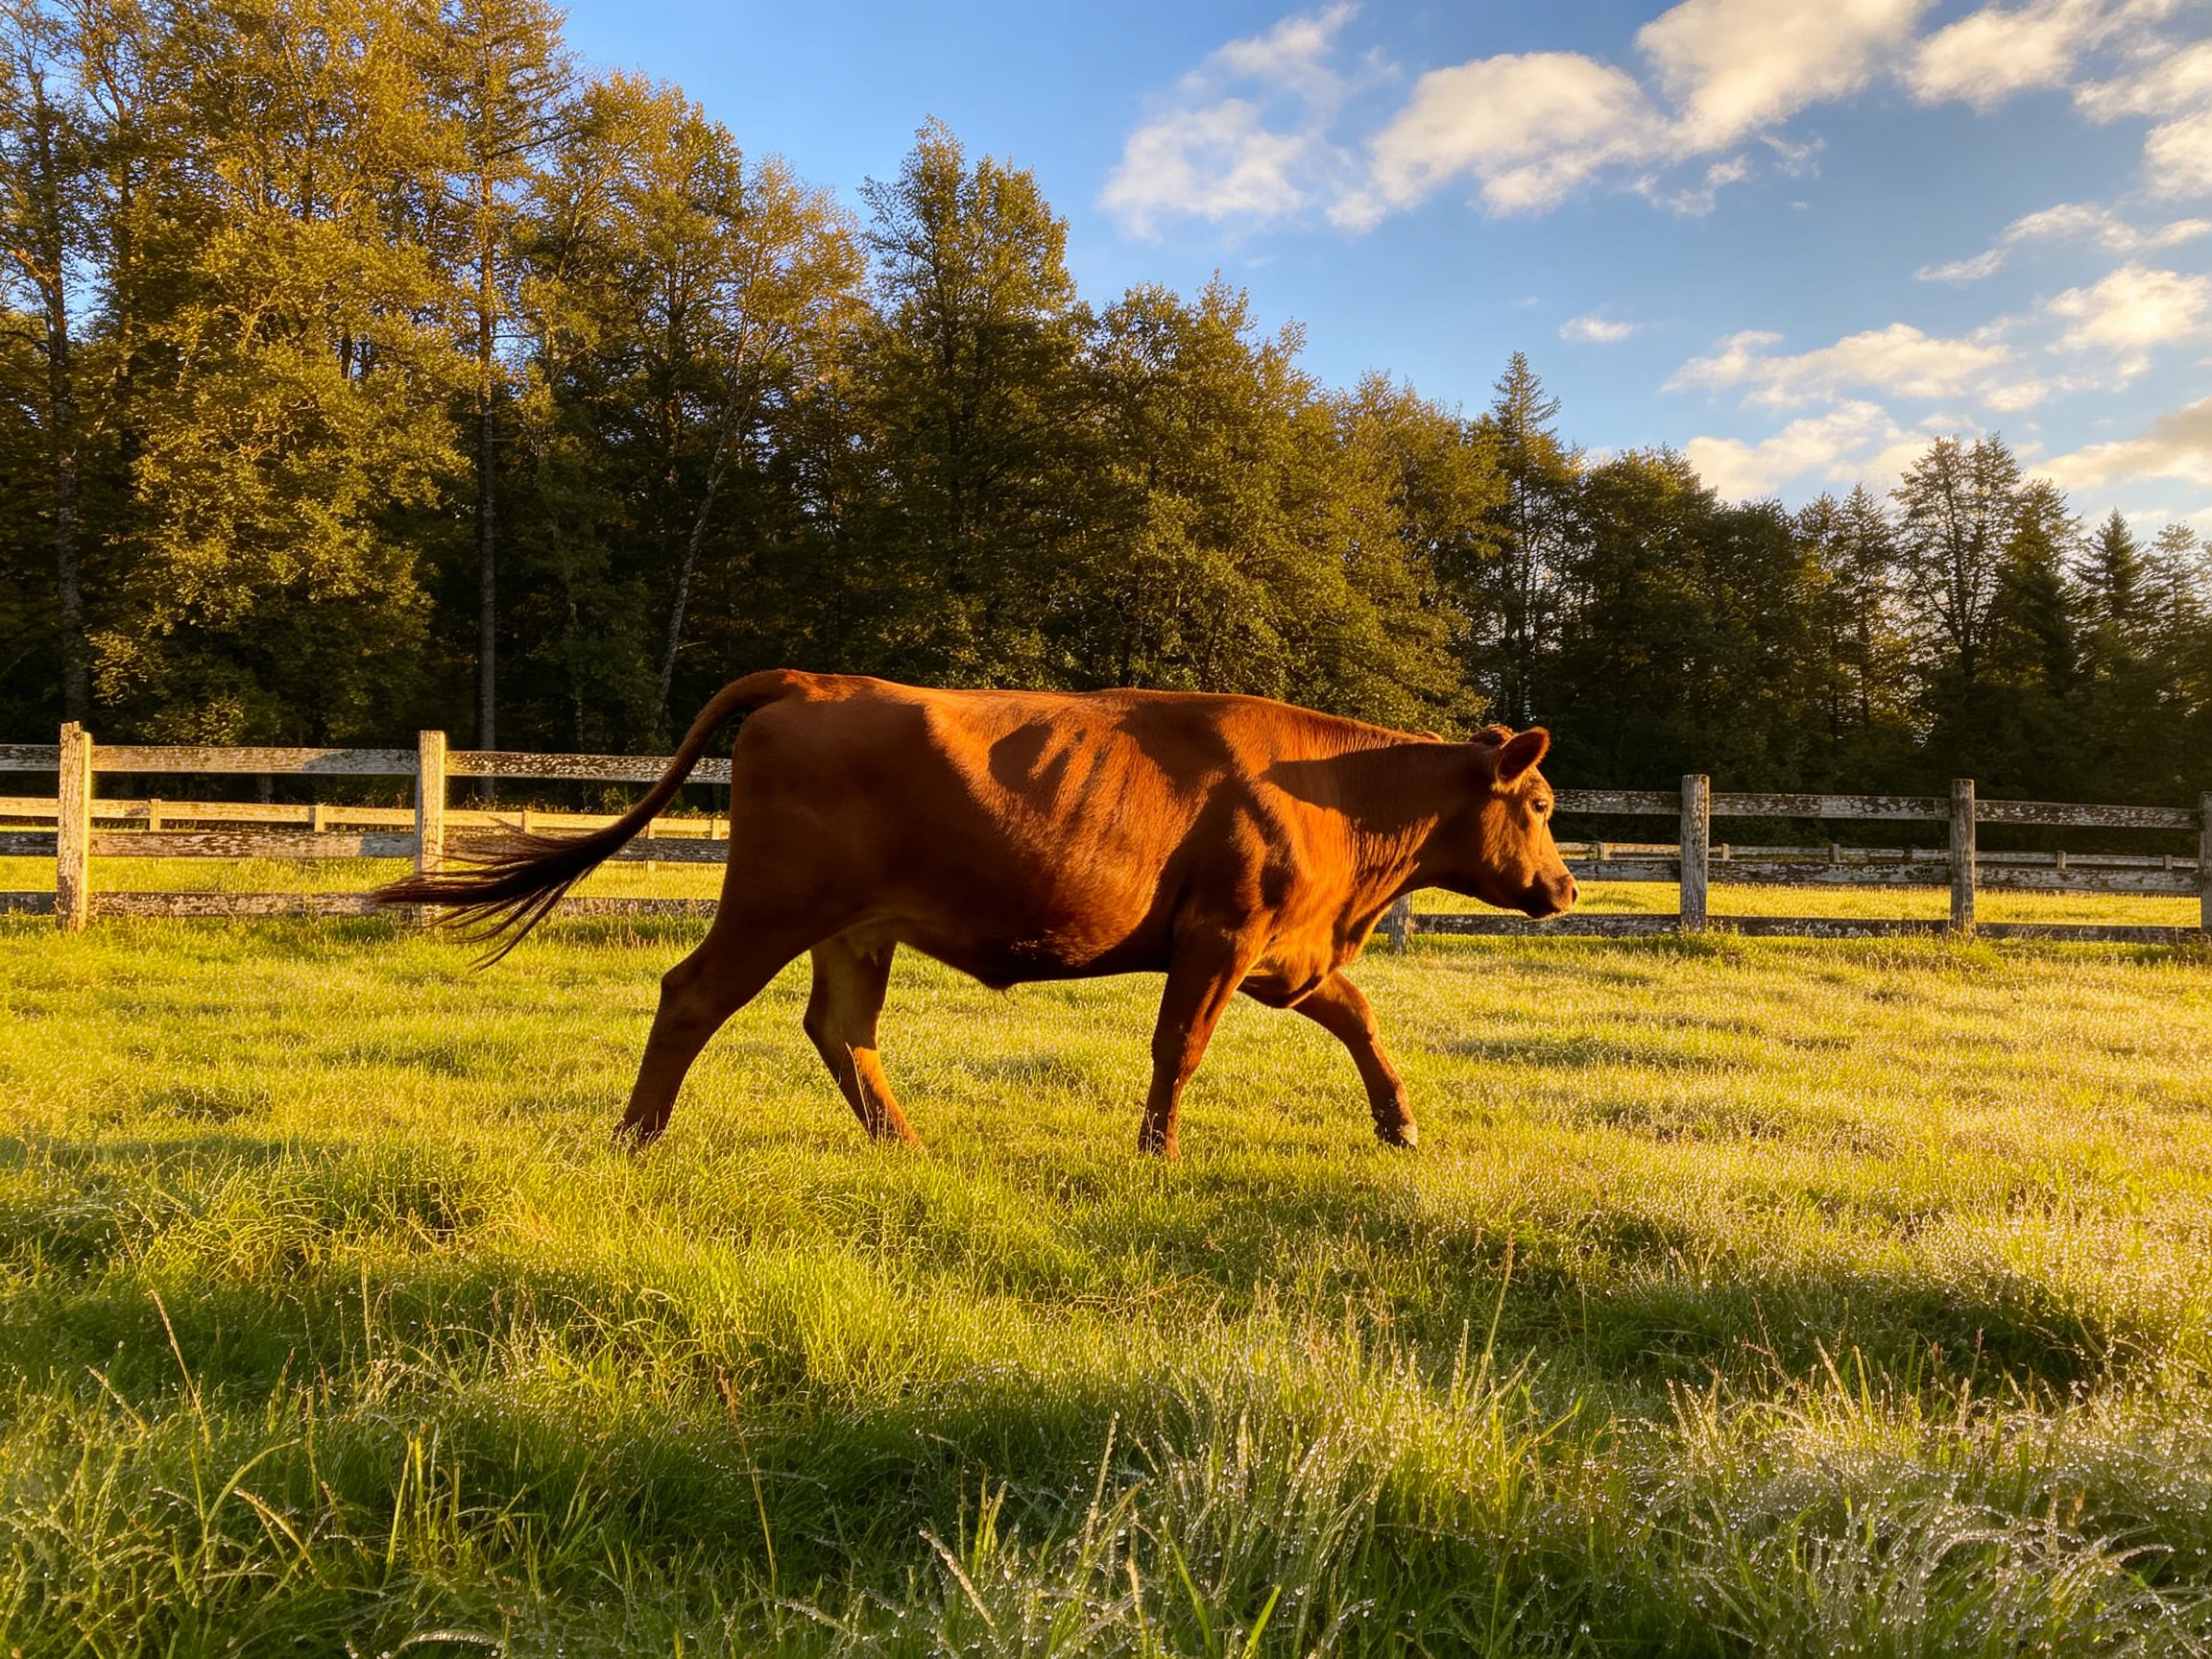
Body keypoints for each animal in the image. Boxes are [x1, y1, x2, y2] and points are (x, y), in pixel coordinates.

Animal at [374, 671, 1577, 1156]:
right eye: (1542, 805)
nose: (1565, 888)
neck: (1337, 801)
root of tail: (814, 682)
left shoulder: (1290, 951)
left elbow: (1362, 1020)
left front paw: (1400, 1124)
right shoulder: (1220, 939)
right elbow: (1178, 1049)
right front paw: (1157, 1151)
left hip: (855, 928)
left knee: (840, 1031)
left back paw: (902, 1142)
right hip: (775, 903)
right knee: (692, 997)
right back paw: (638, 1136)